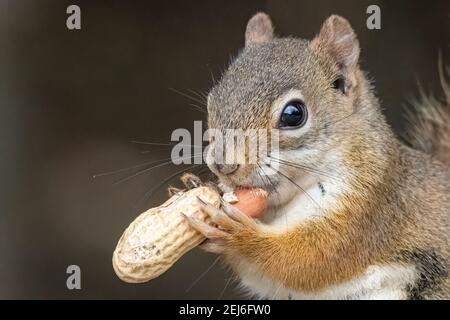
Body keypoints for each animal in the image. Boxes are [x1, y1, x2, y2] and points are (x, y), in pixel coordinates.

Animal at [183, 11, 450, 298]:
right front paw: (197, 186)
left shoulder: (368, 210)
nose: (222, 165)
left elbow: (310, 258)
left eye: (293, 114)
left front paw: (239, 235)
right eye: (212, 102)